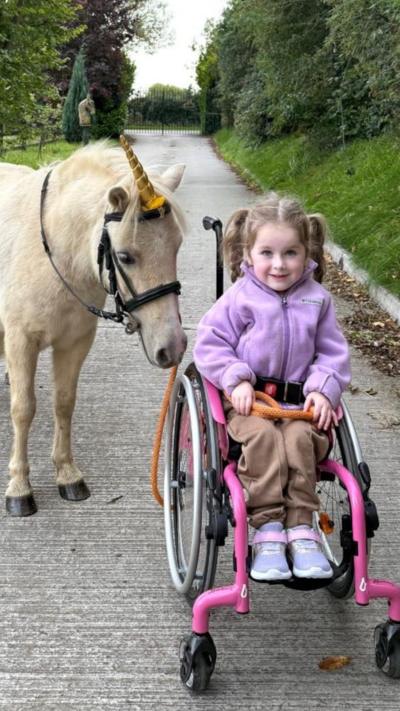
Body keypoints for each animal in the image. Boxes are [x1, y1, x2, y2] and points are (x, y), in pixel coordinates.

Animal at [0, 137, 187, 516]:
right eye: (126, 256)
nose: (172, 347)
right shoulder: (21, 340)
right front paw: (19, 487)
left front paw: (67, 474)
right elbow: (23, 409)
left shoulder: (75, 341)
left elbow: (63, 402)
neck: (56, 253)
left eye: (176, 247)